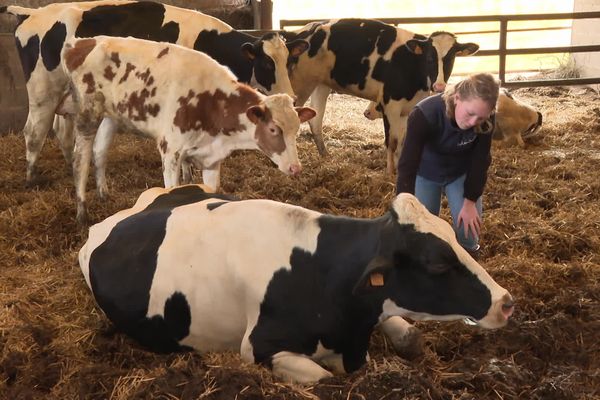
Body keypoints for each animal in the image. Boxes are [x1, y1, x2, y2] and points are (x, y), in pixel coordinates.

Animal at [1, 0, 310, 188]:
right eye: (266, 63)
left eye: (290, 60)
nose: (291, 96)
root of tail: (33, 13)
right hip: (42, 92)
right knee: (34, 132)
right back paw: (32, 180)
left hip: (66, 97)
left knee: (61, 133)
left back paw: (70, 168)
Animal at [58, 36, 316, 225]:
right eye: (273, 129)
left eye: (296, 129)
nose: (296, 168)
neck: (211, 101)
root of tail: (81, 43)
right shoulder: (170, 152)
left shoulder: (212, 159)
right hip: (87, 115)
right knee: (80, 159)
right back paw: (82, 213)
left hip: (110, 117)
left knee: (99, 153)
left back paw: (103, 194)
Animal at [77, 184, 512, 384]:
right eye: (437, 263)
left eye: (455, 237)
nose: (506, 302)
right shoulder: (258, 346)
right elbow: (325, 378)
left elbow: (411, 336)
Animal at [280, 18, 478, 174]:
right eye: (429, 57)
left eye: (451, 58)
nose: (439, 85)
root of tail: (300, 32)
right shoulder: (390, 104)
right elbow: (392, 141)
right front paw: (390, 173)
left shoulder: (407, 109)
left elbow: (403, 141)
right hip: (300, 84)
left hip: (320, 85)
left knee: (315, 121)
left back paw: (325, 156)